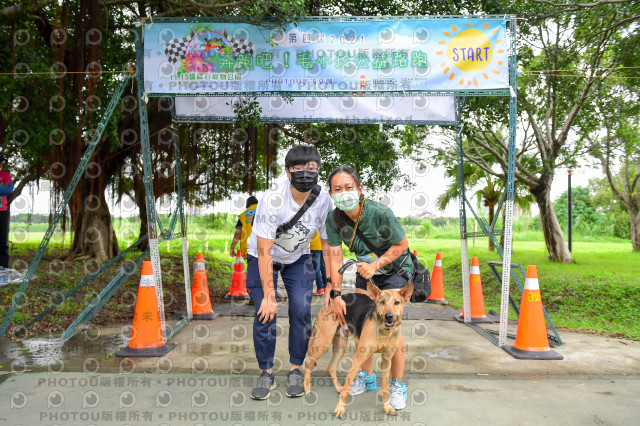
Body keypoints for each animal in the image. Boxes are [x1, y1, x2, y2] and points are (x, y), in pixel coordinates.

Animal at [304, 282, 416, 418]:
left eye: (397, 302)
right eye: (382, 302)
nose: (389, 316)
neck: (384, 330)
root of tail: (328, 304)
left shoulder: (386, 360)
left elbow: (385, 388)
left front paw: (387, 407)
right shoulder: (358, 358)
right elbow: (347, 388)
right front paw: (340, 409)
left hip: (340, 346)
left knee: (330, 367)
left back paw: (338, 388)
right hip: (324, 342)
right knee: (308, 361)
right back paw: (307, 387)